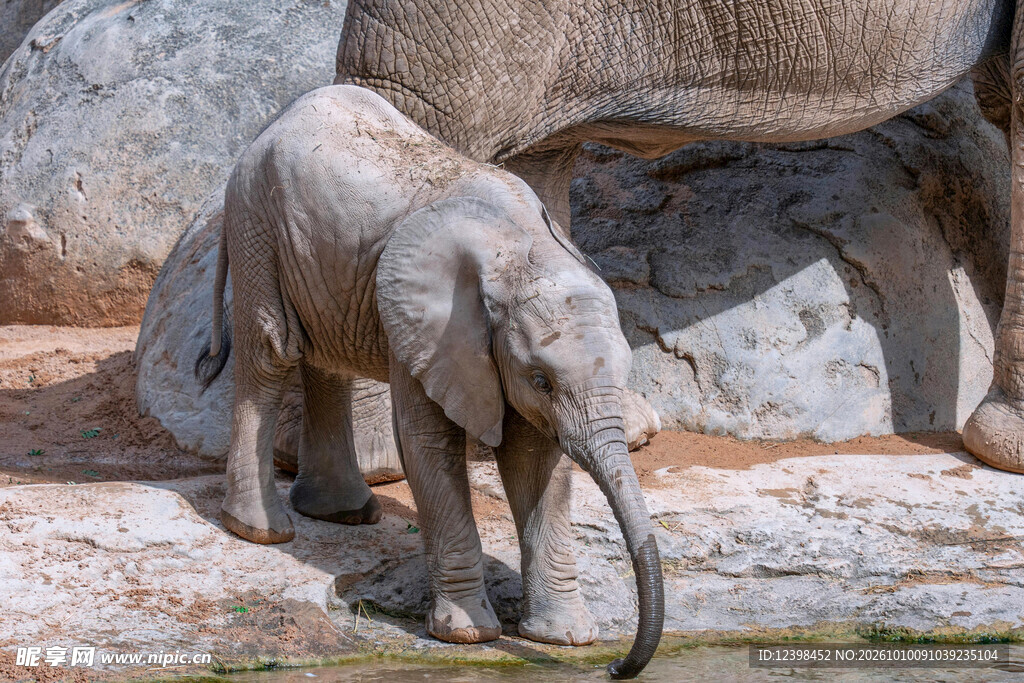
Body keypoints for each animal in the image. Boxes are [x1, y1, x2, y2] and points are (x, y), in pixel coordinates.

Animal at [196, 84, 663, 679]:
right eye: (542, 380)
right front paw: (468, 635)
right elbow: (429, 445)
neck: (522, 249)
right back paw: (262, 530)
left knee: (326, 359)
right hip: (256, 220)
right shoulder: (432, 333)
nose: (616, 667)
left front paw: (566, 639)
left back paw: (344, 514)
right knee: (273, 350)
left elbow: (535, 459)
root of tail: (277, 121)